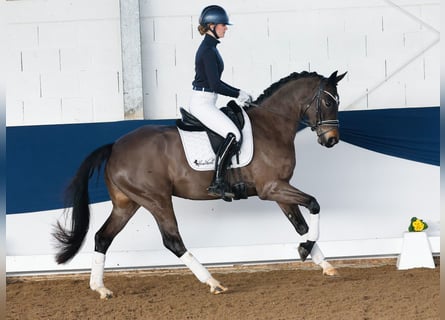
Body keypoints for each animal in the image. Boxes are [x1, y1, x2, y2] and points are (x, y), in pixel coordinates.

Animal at [53, 70, 346, 298]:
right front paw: (306, 250)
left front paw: (322, 262)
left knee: (103, 237)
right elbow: (314, 204)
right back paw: (213, 282)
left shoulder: (279, 189)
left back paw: (100, 288)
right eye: (328, 102)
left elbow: (301, 225)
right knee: (173, 241)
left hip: (128, 204)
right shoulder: (271, 188)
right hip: (156, 200)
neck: (271, 125)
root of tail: (114, 147)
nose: (331, 139)